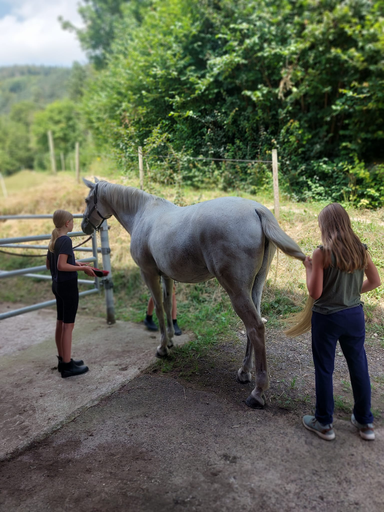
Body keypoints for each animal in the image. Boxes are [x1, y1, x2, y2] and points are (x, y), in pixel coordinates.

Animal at [82, 178, 306, 410]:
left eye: (88, 200)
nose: (84, 226)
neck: (142, 213)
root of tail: (257, 210)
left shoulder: (149, 273)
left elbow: (159, 308)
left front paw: (162, 348)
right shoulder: (166, 276)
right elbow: (167, 302)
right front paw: (171, 339)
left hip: (237, 291)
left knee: (256, 327)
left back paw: (257, 392)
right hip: (256, 287)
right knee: (255, 325)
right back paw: (244, 372)